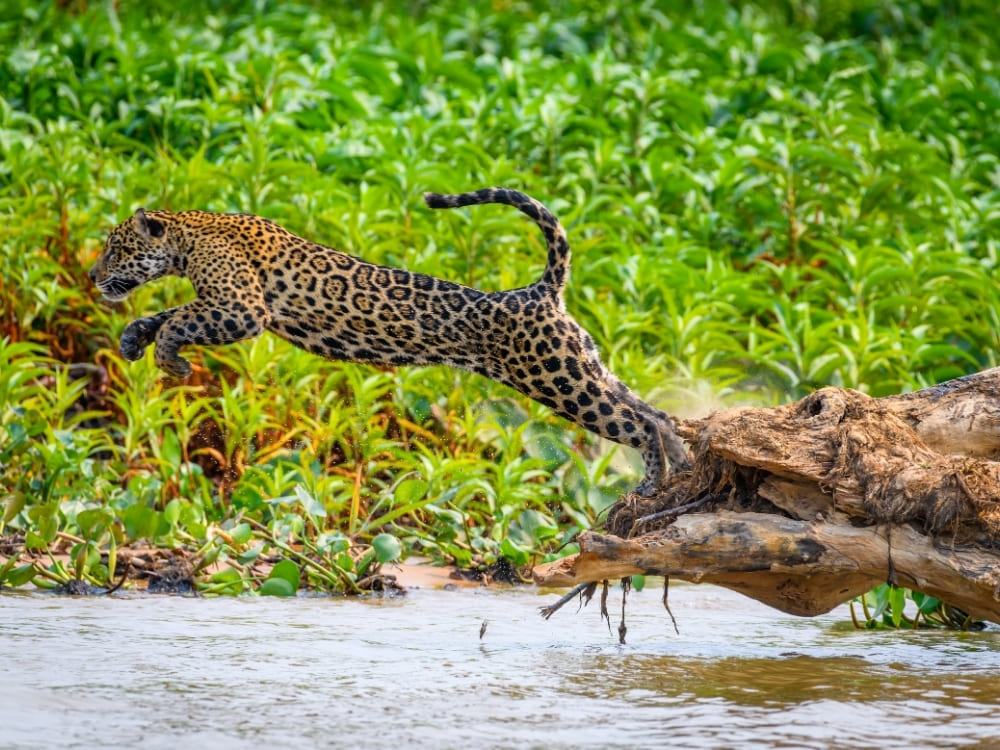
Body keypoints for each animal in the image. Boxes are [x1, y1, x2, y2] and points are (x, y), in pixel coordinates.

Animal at [89, 187, 690, 496]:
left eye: (116, 250)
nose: (93, 276)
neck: (189, 236)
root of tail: (538, 290)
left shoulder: (242, 308)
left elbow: (180, 319)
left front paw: (171, 361)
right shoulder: (223, 304)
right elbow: (172, 311)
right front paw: (134, 339)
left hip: (559, 379)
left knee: (635, 422)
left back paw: (649, 485)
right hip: (584, 366)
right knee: (655, 412)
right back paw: (680, 469)